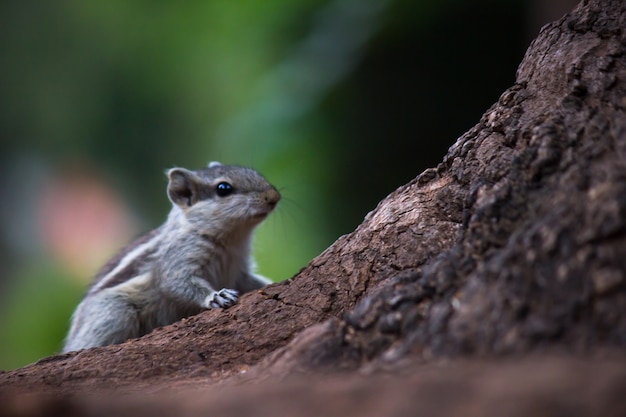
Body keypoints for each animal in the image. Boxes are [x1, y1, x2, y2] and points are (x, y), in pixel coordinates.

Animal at [61, 162, 280, 352]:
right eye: (223, 188)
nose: (274, 196)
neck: (232, 241)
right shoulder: (179, 258)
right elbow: (176, 283)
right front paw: (216, 296)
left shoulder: (239, 270)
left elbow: (251, 281)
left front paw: (270, 283)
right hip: (114, 312)